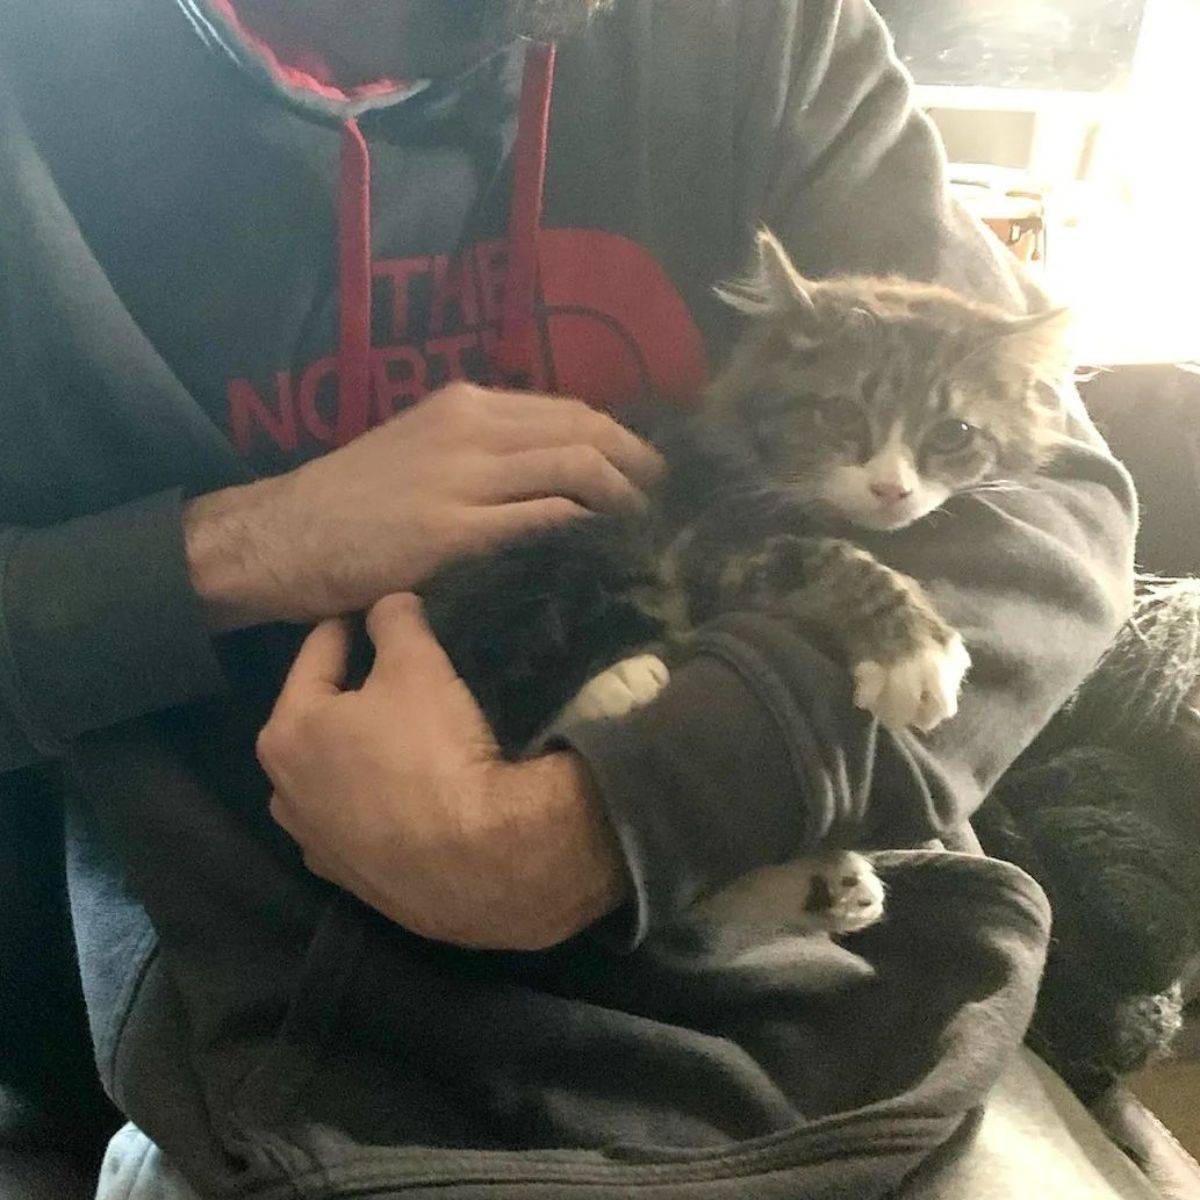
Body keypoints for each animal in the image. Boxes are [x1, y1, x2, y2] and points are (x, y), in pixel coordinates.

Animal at [420, 229, 1070, 945]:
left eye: (953, 434)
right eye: (840, 413)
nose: (891, 489)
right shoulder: (708, 547)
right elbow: (831, 560)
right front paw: (914, 655)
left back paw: (826, 887)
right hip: (583, 550)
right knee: (505, 694)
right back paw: (619, 683)